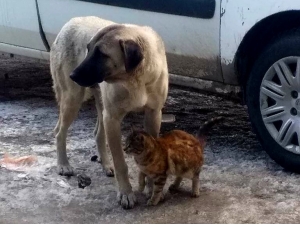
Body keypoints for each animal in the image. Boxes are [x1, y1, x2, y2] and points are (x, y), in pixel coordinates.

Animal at [49, 16, 169, 209]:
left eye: (101, 54)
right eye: (88, 49)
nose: (72, 76)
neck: (135, 78)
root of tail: (70, 22)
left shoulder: (153, 115)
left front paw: (152, 189)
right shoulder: (113, 119)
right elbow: (121, 162)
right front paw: (126, 193)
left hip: (100, 104)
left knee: (98, 133)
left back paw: (105, 164)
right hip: (72, 99)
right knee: (59, 131)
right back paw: (63, 165)